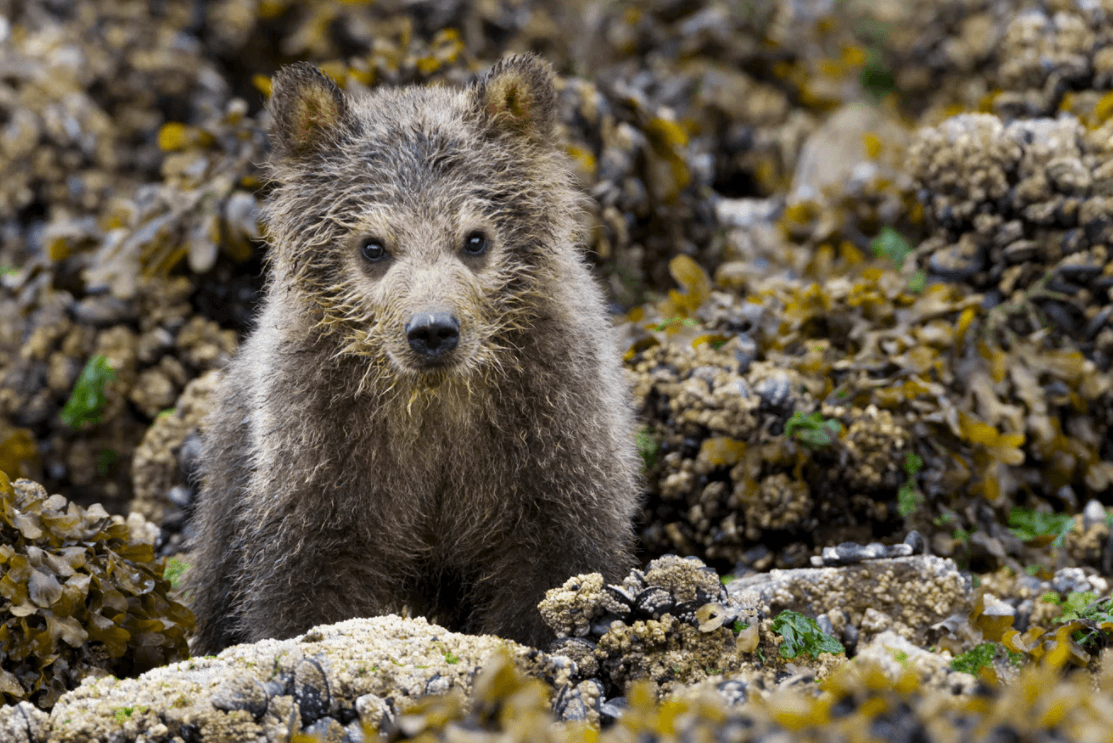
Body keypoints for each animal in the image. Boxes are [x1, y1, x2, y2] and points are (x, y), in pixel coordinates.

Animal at [189, 55, 645, 654]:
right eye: (373, 246)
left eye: (475, 238)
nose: (432, 330)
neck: (433, 405)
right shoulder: (323, 451)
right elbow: (308, 578)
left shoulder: (552, 431)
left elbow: (555, 564)